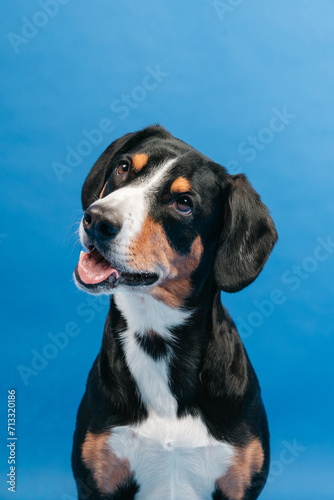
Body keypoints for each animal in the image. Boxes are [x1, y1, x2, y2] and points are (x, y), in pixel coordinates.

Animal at [72, 126, 278, 500]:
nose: (97, 220)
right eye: (123, 167)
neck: (156, 337)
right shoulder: (96, 480)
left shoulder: (240, 484)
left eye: (184, 203)